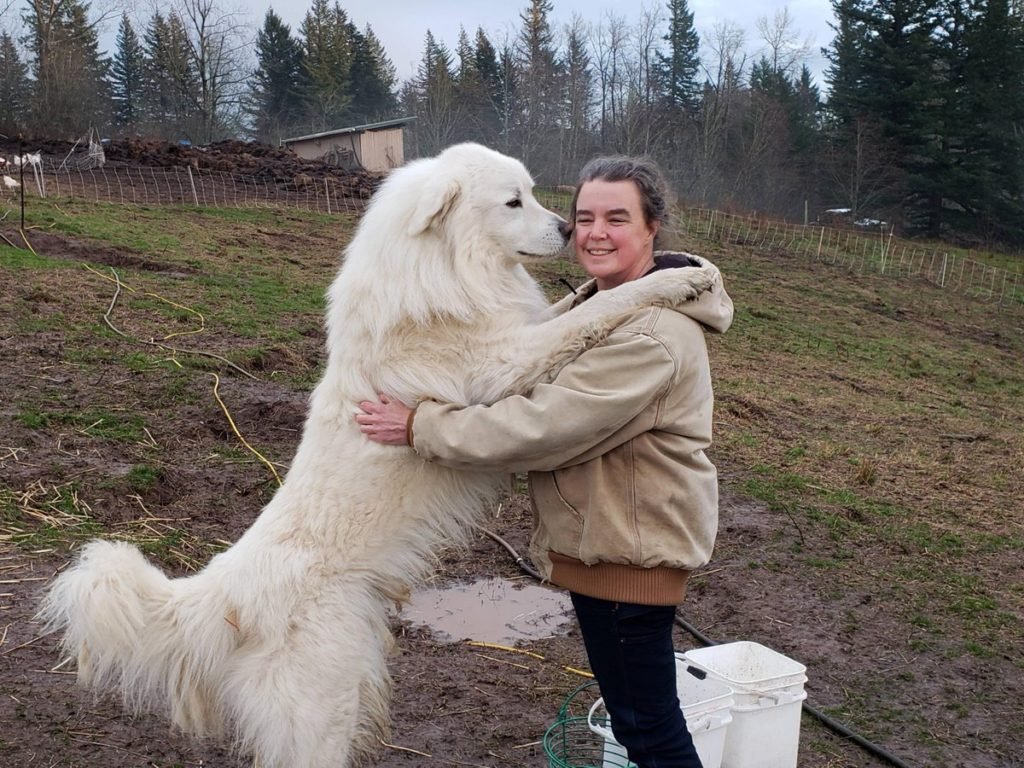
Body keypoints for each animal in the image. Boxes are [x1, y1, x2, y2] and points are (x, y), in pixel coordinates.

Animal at [41, 141, 720, 765]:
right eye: (513, 201)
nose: (567, 228)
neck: (442, 264)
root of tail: (228, 591)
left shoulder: (517, 332)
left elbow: (573, 304)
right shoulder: (507, 364)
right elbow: (600, 307)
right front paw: (681, 279)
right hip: (324, 710)